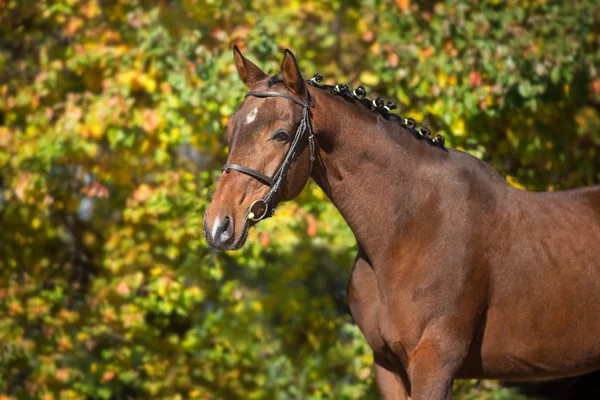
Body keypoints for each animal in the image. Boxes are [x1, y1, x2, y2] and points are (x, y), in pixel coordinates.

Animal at [203, 47, 600, 400]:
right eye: (231, 127)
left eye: (282, 134)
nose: (218, 225)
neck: (410, 226)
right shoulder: (387, 365)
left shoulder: (435, 362)